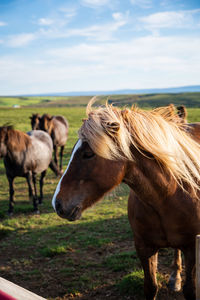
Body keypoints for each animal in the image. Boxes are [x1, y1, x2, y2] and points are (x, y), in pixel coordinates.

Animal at [52, 99, 200, 298]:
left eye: (88, 153)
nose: (57, 203)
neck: (167, 197)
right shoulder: (144, 247)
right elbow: (151, 287)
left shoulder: (192, 248)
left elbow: (190, 289)